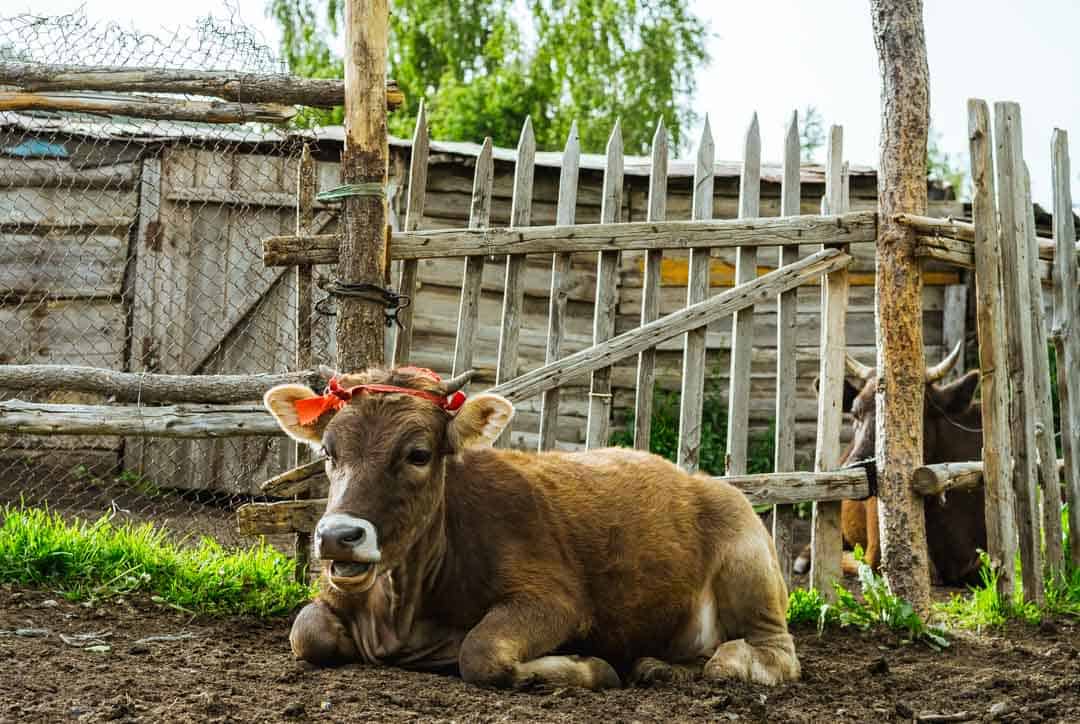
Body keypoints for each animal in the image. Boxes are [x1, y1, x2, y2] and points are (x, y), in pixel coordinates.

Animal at [264, 369, 799, 691]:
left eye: (418, 453)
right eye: (328, 451)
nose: (338, 536)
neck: (403, 607)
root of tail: (699, 479)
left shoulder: (556, 600)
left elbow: (480, 652)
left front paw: (588, 667)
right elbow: (305, 631)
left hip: (749, 559)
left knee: (775, 652)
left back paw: (727, 661)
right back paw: (658, 666)